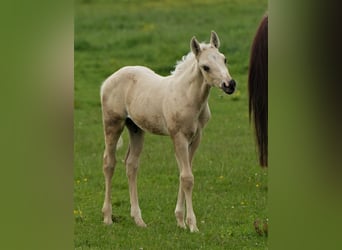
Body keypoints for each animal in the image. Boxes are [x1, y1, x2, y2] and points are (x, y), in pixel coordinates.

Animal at [100, 31, 236, 232]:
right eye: (205, 67)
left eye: (224, 59)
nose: (230, 85)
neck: (188, 97)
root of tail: (108, 80)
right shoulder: (178, 137)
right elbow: (187, 177)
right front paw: (192, 225)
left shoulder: (196, 138)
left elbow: (184, 174)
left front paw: (180, 221)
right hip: (113, 124)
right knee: (109, 163)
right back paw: (108, 217)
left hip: (136, 129)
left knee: (131, 165)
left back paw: (139, 220)